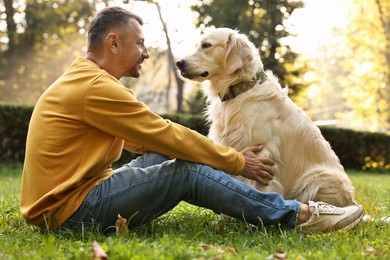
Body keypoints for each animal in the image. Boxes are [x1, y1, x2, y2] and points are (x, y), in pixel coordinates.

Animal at [177, 27, 356, 207]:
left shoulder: (264, 153)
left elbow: (260, 188)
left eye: (206, 45)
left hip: (317, 178)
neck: (240, 90)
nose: (179, 63)